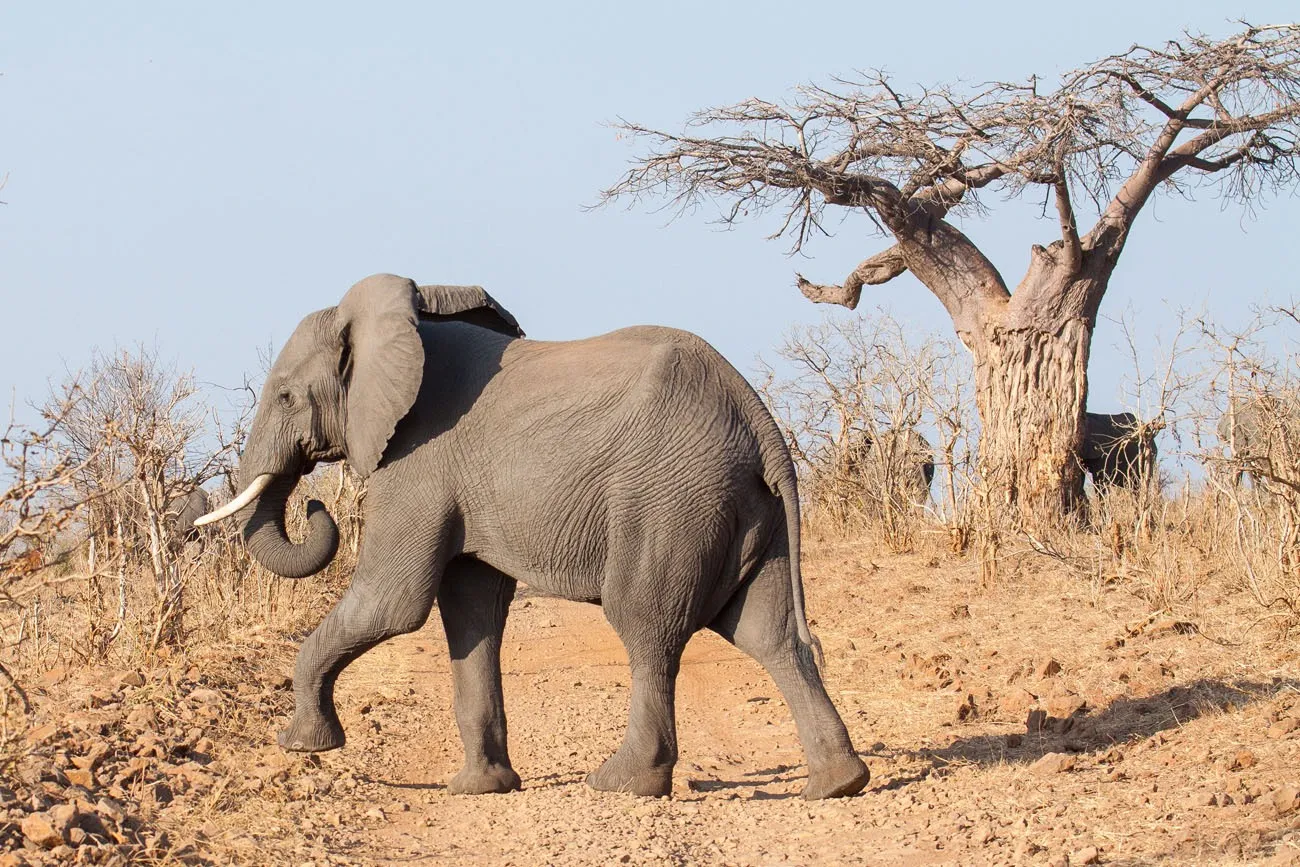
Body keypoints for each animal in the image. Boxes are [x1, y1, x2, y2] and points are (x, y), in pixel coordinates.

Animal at [197, 274, 868, 805]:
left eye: (286, 395)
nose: (315, 503)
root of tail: (760, 421)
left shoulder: (418, 461)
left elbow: (395, 603)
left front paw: (301, 746)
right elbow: (472, 609)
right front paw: (480, 790)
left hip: (671, 497)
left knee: (648, 627)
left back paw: (622, 784)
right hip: (747, 506)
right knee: (767, 633)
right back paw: (837, 784)